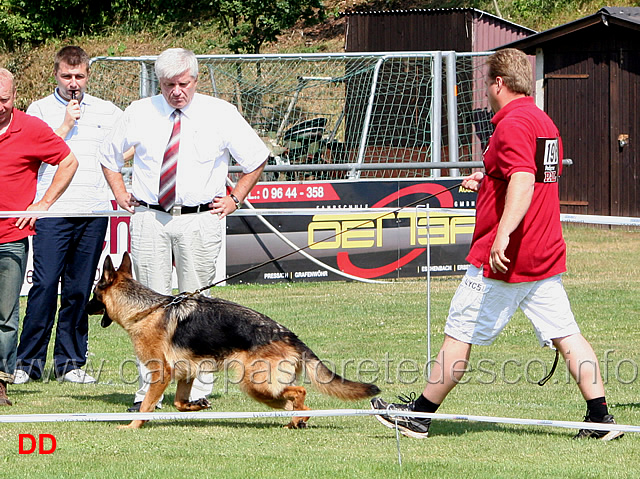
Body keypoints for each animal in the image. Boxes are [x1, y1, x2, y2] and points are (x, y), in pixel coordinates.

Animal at [85, 253, 380, 430]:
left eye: (94, 293)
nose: (83, 308)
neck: (146, 309)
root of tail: (289, 335)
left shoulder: (161, 373)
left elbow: (146, 404)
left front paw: (133, 426)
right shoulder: (186, 373)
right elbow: (180, 403)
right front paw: (197, 405)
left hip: (256, 384)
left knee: (300, 392)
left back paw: (298, 416)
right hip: (264, 391)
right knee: (298, 403)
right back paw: (297, 420)